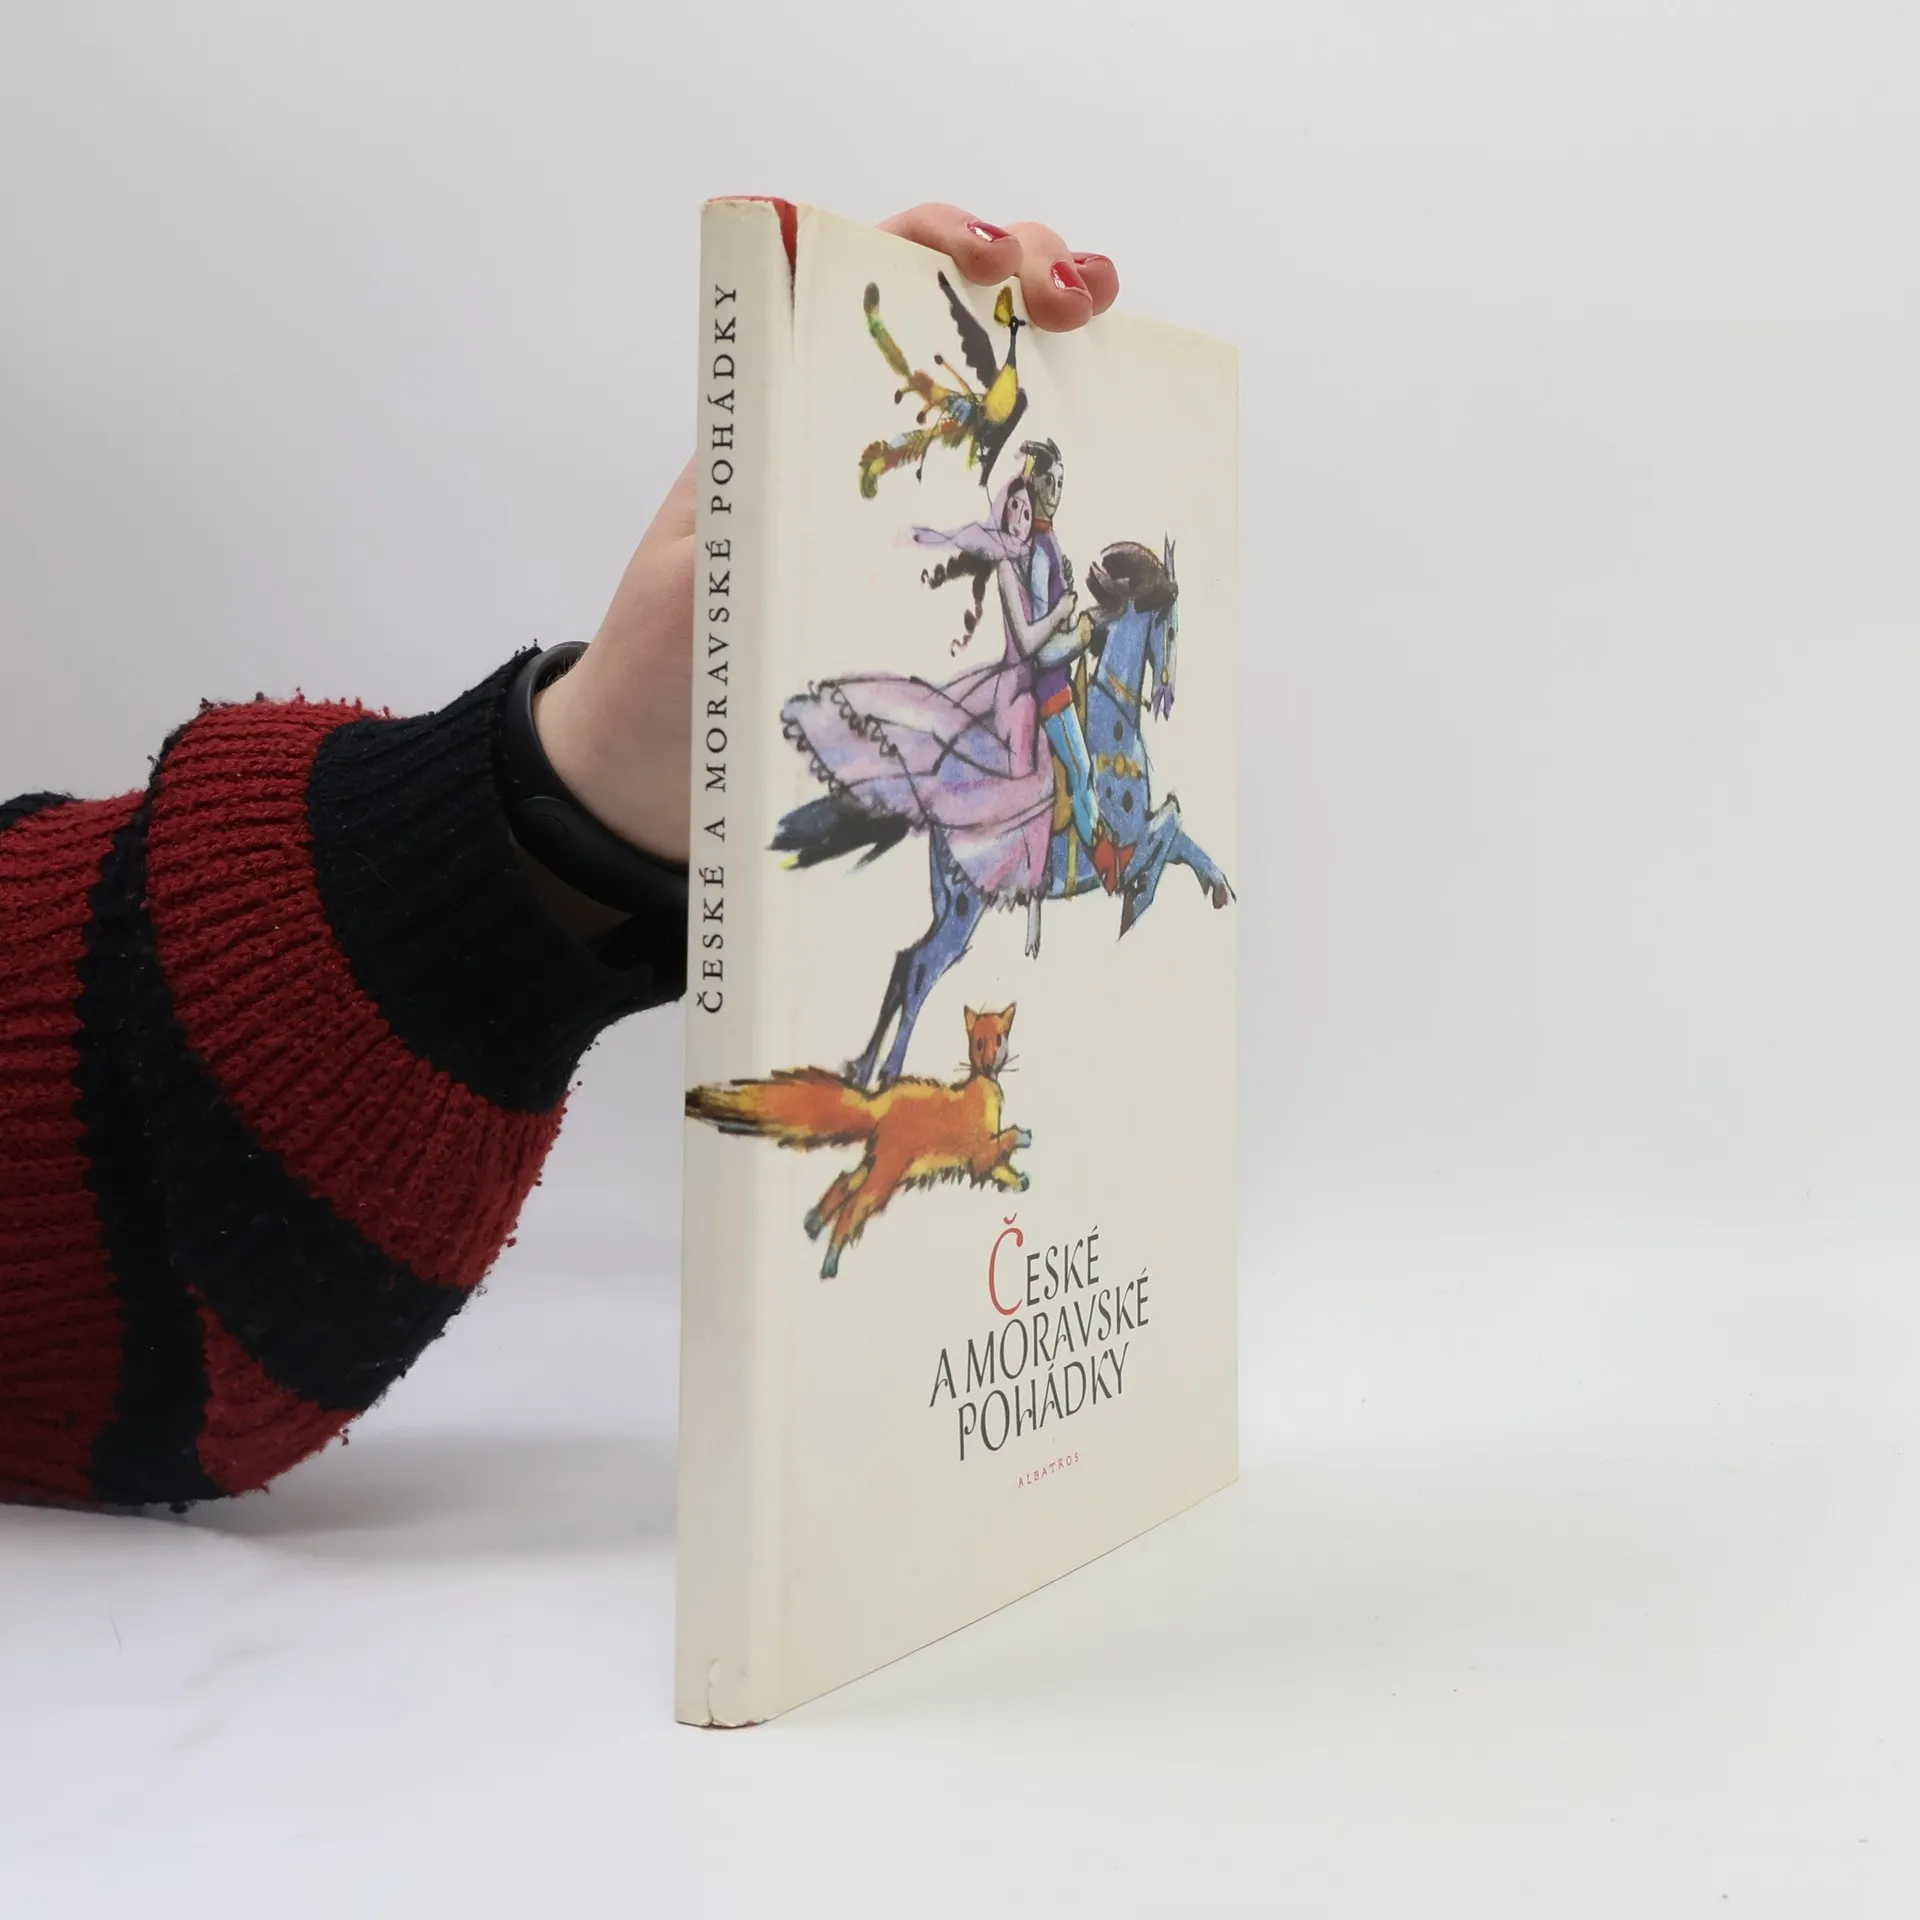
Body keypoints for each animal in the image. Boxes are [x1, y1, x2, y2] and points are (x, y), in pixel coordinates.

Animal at [774, 539, 1233, 1088]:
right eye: (1172, 628)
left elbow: (1181, 834)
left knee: (908, 962)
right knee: (924, 967)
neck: (1111, 723)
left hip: (948, 905)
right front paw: (1139, 904)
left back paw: (861, 1070)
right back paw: (889, 1073)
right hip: (966, 907)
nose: (1167, 697)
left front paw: (1216, 887)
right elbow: (1172, 825)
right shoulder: (1129, 842)